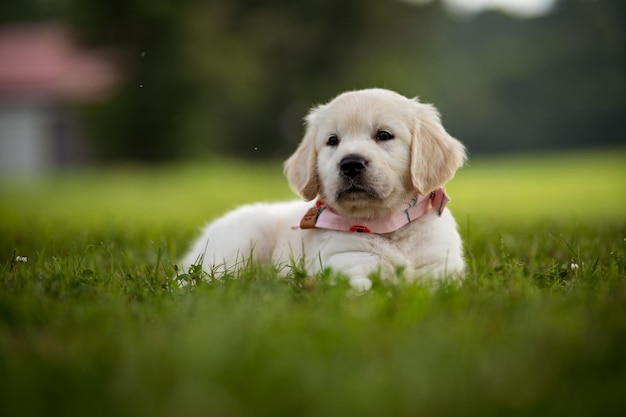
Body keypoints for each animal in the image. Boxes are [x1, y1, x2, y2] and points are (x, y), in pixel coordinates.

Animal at [178, 88, 466, 290]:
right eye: (332, 141)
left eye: (384, 135)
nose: (350, 164)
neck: (389, 226)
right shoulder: (348, 263)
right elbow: (364, 289)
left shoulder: (443, 266)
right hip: (240, 240)